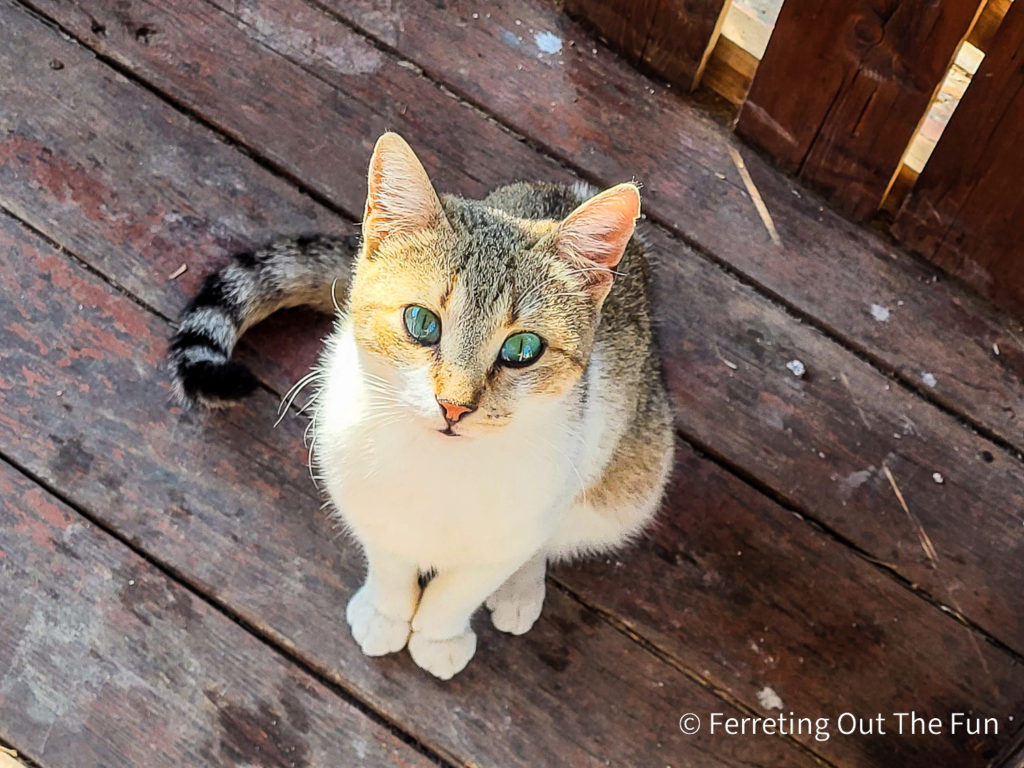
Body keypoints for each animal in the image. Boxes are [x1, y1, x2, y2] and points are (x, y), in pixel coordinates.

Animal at [172, 132, 675, 679]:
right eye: (421, 323)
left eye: (523, 349)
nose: (453, 406)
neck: (437, 468)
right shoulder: (361, 494)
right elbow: (389, 562)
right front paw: (386, 614)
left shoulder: (525, 513)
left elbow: (463, 586)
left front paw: (438, 636)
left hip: (627, 481)